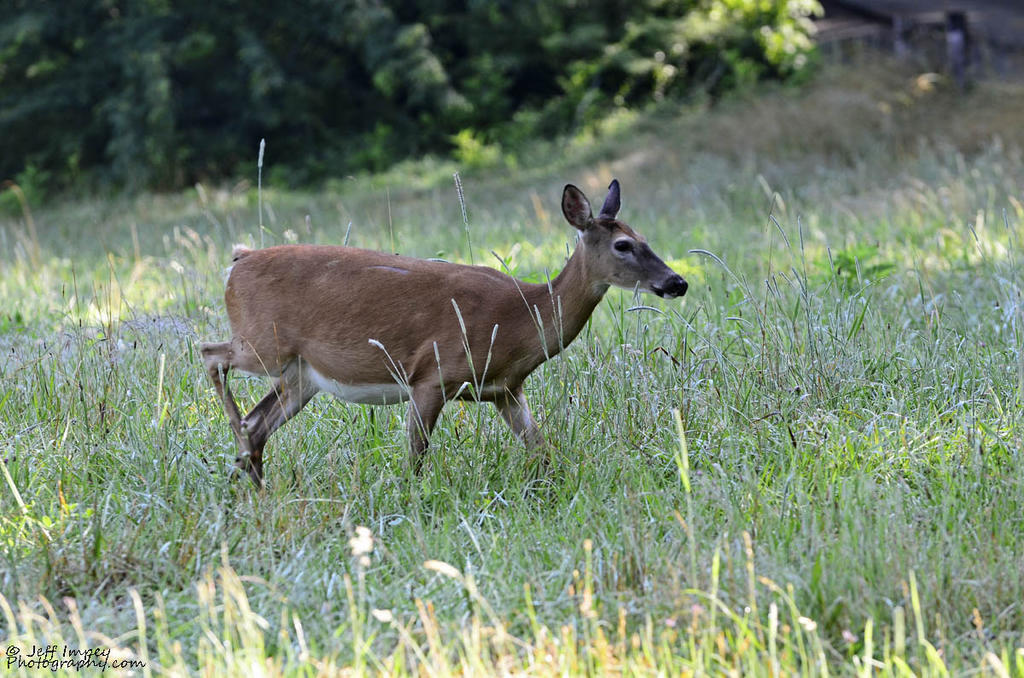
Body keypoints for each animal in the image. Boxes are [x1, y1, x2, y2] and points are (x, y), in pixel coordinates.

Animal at [200, 180, 688, 485]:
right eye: (623, 245)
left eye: (645, 237)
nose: (677, 282)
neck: (519, 317)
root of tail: (238, 261)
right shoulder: (432, 374)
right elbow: (416, 458)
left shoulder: (505, 389)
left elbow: (541, 450)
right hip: (262, 343)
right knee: (210, 354)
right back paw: (242, 457)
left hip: (301, 374)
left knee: (259, 420)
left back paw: (252, 477)